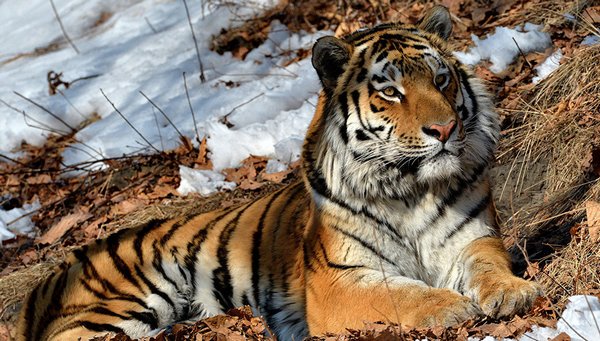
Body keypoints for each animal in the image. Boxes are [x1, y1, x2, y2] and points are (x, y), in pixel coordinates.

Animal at [15, 5, 540, 340]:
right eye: (390, 91)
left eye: (441, 79)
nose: (445, 128)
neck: (409, 189)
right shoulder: (338, 280)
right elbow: (401, 294)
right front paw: (447, 306)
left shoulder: (475, 239)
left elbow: (488, 267)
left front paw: (513, 292)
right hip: (111, 311)